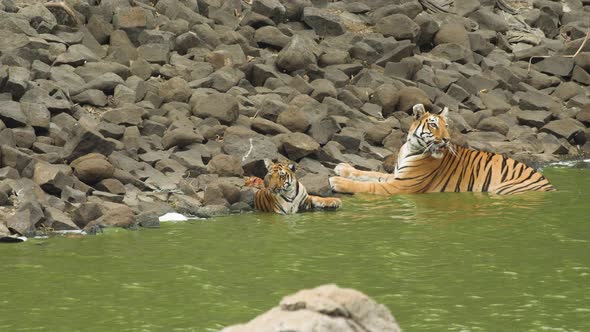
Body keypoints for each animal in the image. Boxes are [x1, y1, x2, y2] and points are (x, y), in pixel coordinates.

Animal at [330, 104, 556, 195]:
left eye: (446, 126)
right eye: (433, 125)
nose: (447, 140)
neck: (411, 147)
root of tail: (551, 187)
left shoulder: (400, 186)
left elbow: (368, 186)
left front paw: (338, 182)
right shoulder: (396, 176)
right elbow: (369, 174)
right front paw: (343, 168)